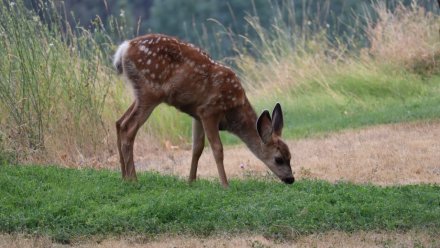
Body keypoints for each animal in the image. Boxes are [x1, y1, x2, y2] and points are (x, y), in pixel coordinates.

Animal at [113, 34, 294, 187]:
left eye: (290, 156)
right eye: (278, 159)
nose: (291, 179)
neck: (233, 111)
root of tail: (125, 48)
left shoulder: (197, 114)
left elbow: (197, 148)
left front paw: (191, 181)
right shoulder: (209, 111)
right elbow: (217, 149)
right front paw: (225, 185)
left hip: (140, 94)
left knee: (119, 122)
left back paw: (123, 177)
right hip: (150, 92)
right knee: (128, 127)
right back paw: (133, 179)